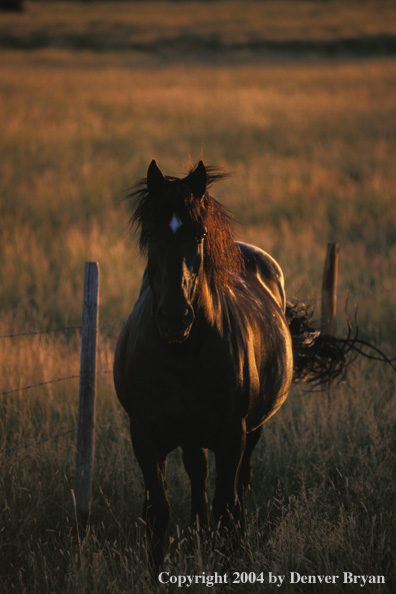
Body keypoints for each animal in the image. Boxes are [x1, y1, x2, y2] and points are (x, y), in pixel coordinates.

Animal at [113, 161, 292, 564]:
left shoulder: (232, 436)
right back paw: (198, 534)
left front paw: (229, 561)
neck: (180, 355)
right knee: (197, 474)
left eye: (200, 235)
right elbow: (159, 510)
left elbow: (226, 506)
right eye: (151, 233)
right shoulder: (144, 436)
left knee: (238, 487)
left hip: (251, 431)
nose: (175, 318)